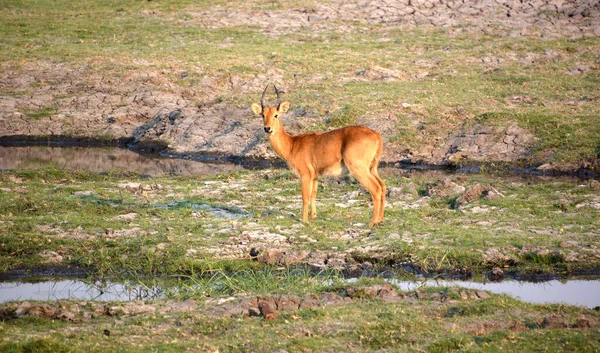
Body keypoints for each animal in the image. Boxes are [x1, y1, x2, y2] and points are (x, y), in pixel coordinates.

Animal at [251, 84, 386, 226]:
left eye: (276, 115)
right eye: (263, 115)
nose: (267, 128)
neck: (292, 145)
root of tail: (376, 134)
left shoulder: (306, 175)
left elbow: (305, 197)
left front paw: (304, 220)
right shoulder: (315, 176)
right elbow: (313, 195)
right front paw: (313, 217)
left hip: (359, 168)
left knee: (376, 188)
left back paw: (372, 222)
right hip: (372, 168)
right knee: (383, 186)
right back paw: (380, 219)